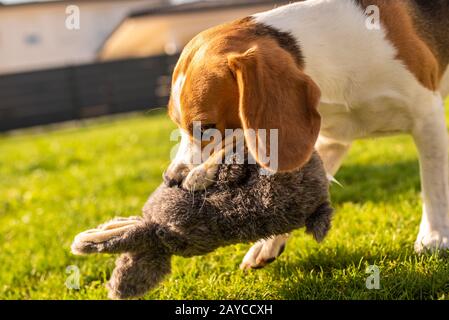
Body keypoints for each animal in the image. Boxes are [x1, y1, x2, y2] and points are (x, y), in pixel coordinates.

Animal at [163, 0, 448, 270]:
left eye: (206, 127)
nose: (170, 179)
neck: (334, 50)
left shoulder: (427, 117)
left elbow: (434, 184)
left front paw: (434, 237)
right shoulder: (331, 141)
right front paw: (268, 243)